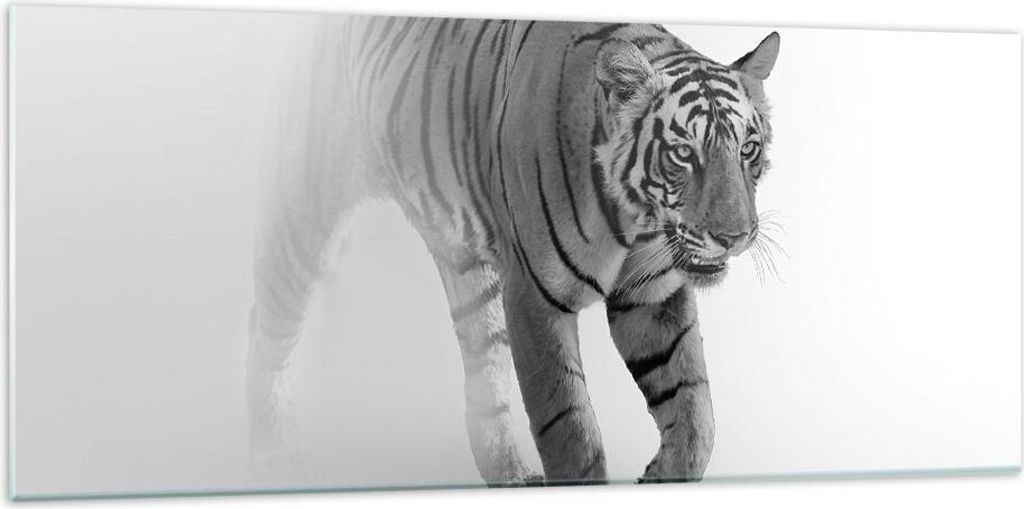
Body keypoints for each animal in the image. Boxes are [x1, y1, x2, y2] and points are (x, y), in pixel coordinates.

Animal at [246, 14, 780, 486]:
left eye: (748, 149)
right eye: (684, 153)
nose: (735, 236)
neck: (634, 224)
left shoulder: (651, 295)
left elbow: (694, 410)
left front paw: (662, 475)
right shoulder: (535, 298)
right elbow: (570, 430)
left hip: (469, 271)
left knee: (484, 379)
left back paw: (511, 475)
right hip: (306, 205)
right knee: (268, 321)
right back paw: (269, 456)